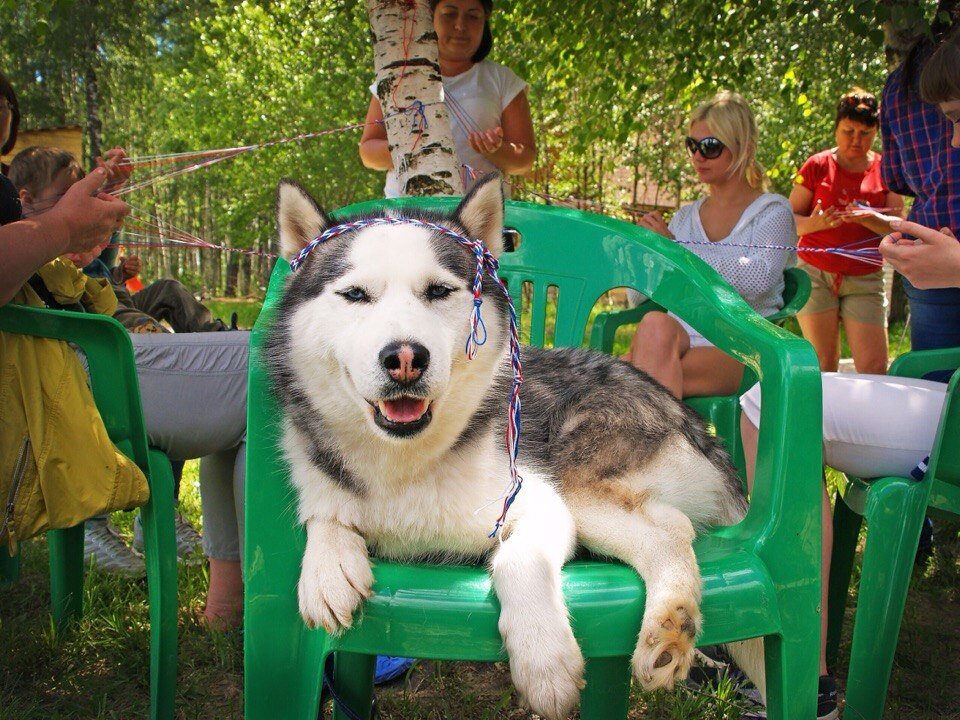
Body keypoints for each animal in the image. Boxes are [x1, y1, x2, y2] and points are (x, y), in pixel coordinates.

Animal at [266, 174, 760, 720]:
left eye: (439, 291)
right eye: (354, 294)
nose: (405, 358)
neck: (407, 463)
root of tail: (691, 421)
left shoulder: (540, 502)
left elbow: (516, 560)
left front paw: (545, 660)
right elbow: (326, 513)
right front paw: (327, 567)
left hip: (581, 482)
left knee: (672, 528)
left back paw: (668, 632)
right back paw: (671, 636)